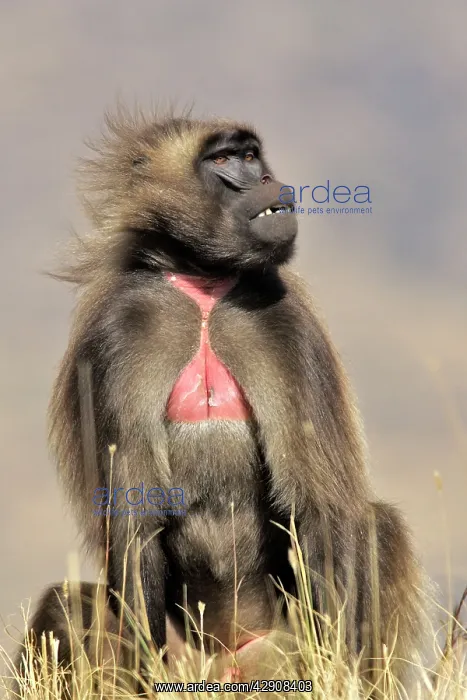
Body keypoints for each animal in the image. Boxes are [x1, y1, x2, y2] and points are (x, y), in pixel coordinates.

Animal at [14, 108, 428, 694]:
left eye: (252, 155)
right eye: (225, 159)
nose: (266, 180)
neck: (203, 287)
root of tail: (230, 666)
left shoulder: (282, 320)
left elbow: (318, 507)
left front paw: (333, 678)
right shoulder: (119, 333)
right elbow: (134, 522)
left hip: (280, 655)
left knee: (373, 525)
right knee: (66, 604)